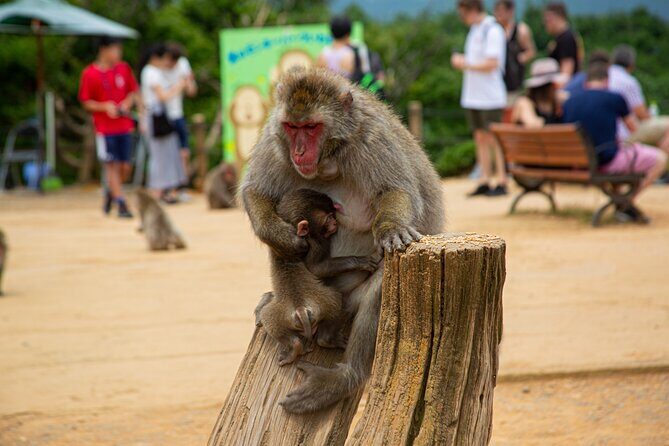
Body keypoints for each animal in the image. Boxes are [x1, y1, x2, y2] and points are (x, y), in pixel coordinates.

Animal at [254, 188, 378, 366]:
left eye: (333, 215)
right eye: (328, 217)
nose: (335, 223)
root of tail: (300, 309)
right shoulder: (315, 242)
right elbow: (316, 269)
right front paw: (359, 261)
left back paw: (294, 347)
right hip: (322, 302)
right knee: (336, 298)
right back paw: (326, 340)